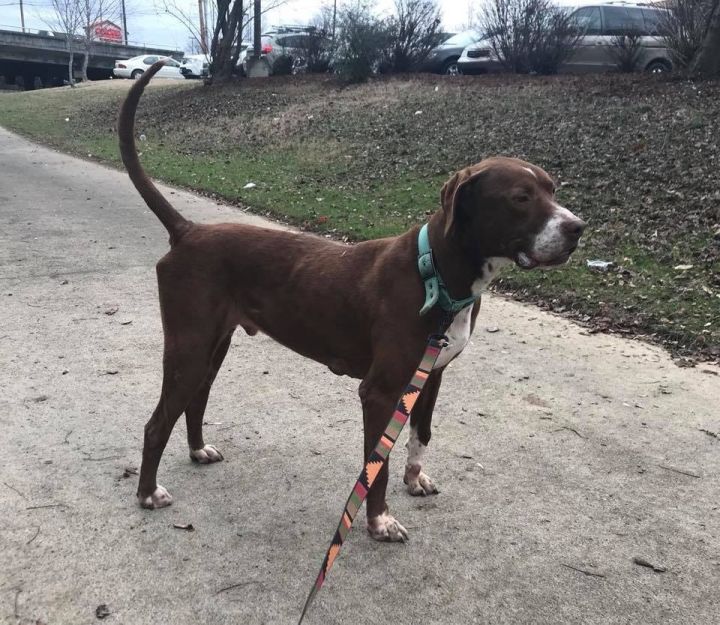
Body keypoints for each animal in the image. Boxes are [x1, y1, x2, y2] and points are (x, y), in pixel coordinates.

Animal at [119, 62, 584, 540]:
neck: (435, 272)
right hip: (189, 348)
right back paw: (147, 493)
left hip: (214, 346)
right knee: (156, 423)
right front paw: (379, 521)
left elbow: (421, 436)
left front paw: (414, 479)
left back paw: (197, 450)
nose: (577, 229)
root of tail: (188, 229)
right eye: (520, 197)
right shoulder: (380, 392)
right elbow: (376, 465)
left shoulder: (431, 377)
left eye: (552, 189)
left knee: (195, 400)